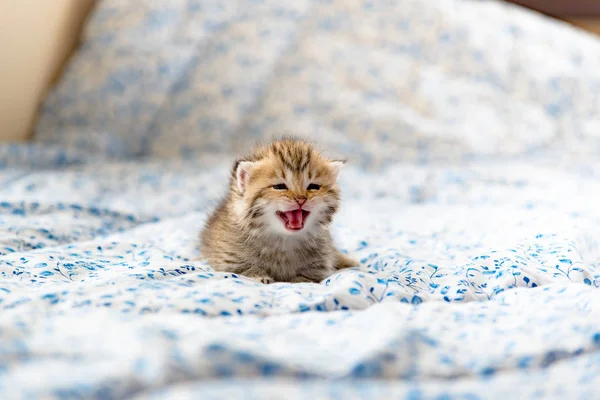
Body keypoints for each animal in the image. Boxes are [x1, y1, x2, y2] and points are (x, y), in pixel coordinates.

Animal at [199, 139, 358, 282]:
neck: (283, 239)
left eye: (313, 187)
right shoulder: (229, 260)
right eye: (280, 187)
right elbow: (246, 270)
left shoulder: (320, 264)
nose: (301, 199)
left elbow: (305, 278)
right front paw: (260, 276)